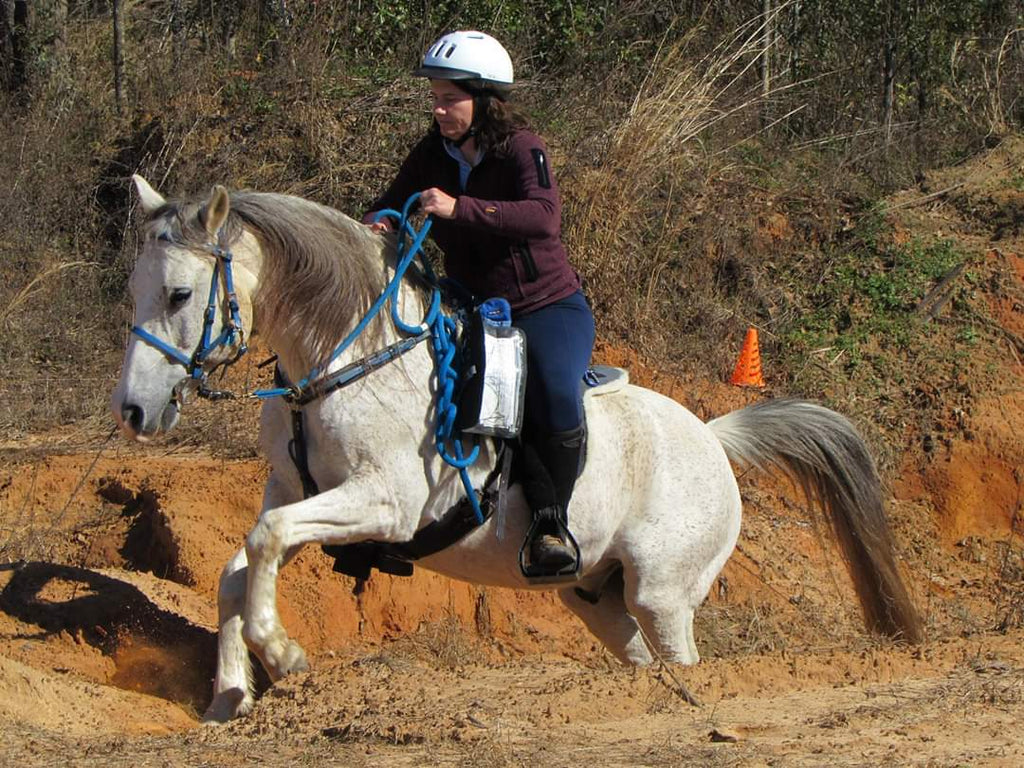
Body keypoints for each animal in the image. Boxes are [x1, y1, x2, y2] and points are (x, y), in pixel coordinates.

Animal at [110, 177, 921, 724]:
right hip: (597, 595)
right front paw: (230, 694)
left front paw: (282, 656)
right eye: (135, 290)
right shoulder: (294, 490)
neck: (347, 355)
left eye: (180, 295)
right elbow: (238, 567)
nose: (135, 410)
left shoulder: (382, 504)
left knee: (679, 651)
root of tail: (712, 437)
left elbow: (266, 543)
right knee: (636, 655)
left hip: (663, 593)